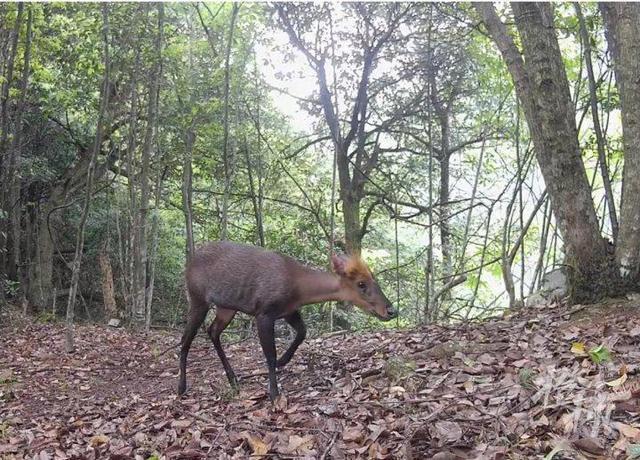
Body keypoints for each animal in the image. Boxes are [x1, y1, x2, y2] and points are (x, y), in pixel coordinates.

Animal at [176, 241, 396, 398]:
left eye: (374, 279)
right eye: (361, 284)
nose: (391, 310)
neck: (298, 287)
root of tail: (189, 263)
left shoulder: (288, 311)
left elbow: (302, 332)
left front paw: (284, 360)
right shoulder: (263, 312)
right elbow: (270, 354)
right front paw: (274, 393)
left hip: (226, 307)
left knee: (212, 331)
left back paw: (233, 380)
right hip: (197, 298)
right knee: (186, 339)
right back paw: (181, 387)